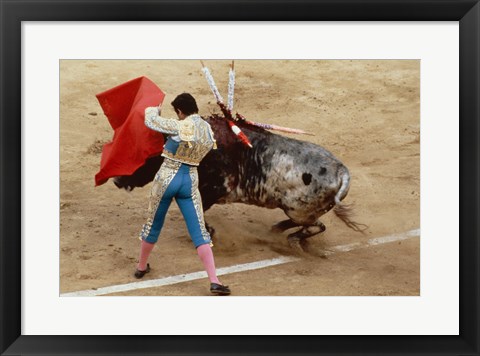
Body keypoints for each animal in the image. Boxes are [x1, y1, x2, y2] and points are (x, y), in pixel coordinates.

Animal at [114, 114, 366, 250]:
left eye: (144, 156)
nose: (116, 180)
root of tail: (341, 171)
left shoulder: (214, 189)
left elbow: (198, 211)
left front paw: (209, 231)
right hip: (300, 210)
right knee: (310, 225)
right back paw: (278, 229)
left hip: (299, 210)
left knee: (315, 226)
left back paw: (291, 239)